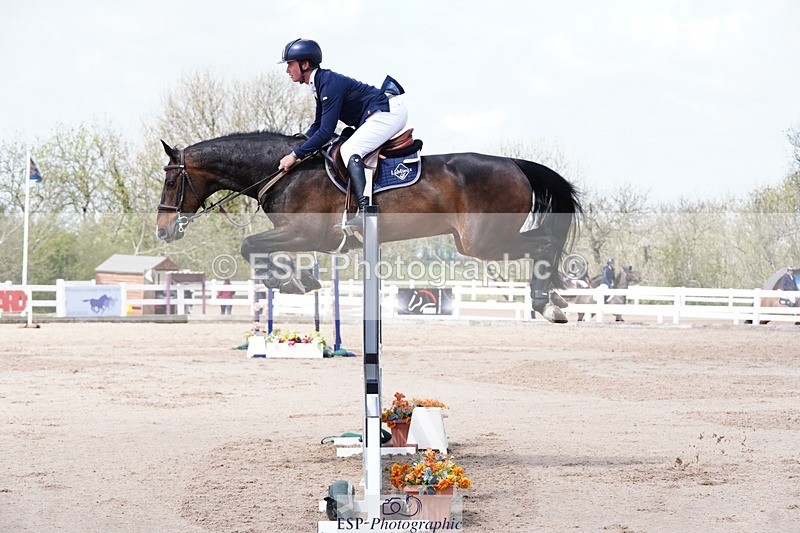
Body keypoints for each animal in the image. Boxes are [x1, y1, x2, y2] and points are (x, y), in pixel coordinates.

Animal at [155, 131, 582, 322]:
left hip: (483, 242)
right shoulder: (303, 238)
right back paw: (556, 298)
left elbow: (248, 245)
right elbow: (255, 250)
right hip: (477, 242)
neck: (285, 172)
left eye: (171, 181)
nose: (162, 230)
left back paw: (547, 303)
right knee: (544, 245)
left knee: (544, 245)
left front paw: (291, 281)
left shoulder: (305, 233)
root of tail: (515, 164)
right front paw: (297, 278)